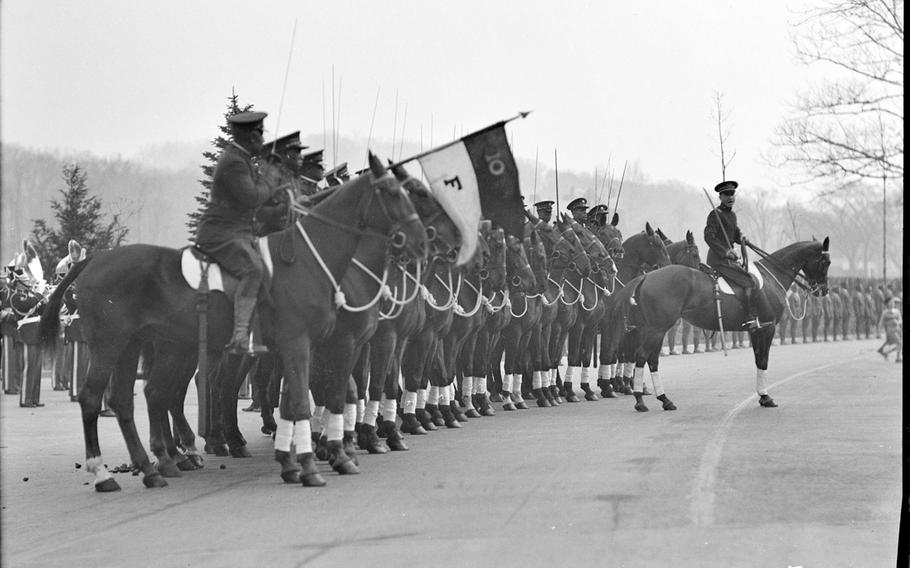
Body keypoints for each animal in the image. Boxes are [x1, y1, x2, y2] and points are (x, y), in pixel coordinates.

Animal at [41, 152, 428, 492]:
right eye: (395, 192)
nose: (422, 242)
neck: (312, 260)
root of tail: (94, 259)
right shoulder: (310, 344)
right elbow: (312, 399)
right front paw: (315, 462)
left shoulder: (317, 347)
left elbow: (309, 398)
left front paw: (300, 461)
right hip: (113, 345)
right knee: (98, 398)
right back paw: (107, 472)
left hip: (137, 346)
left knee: (131, 399)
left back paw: (155, 468)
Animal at [604, 237, 832, 410]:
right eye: (825, 262)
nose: (823, 290)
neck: (770, 278)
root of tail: (646, 276)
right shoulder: (767, 328)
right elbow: (763, 361)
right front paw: (766, 397)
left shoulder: (755, 331)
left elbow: (758, 359)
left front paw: (761, 395)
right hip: (657, 330)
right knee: (642, 357)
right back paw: (640, 400)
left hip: (654, 330)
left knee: (651, 360)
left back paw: (664, 400)